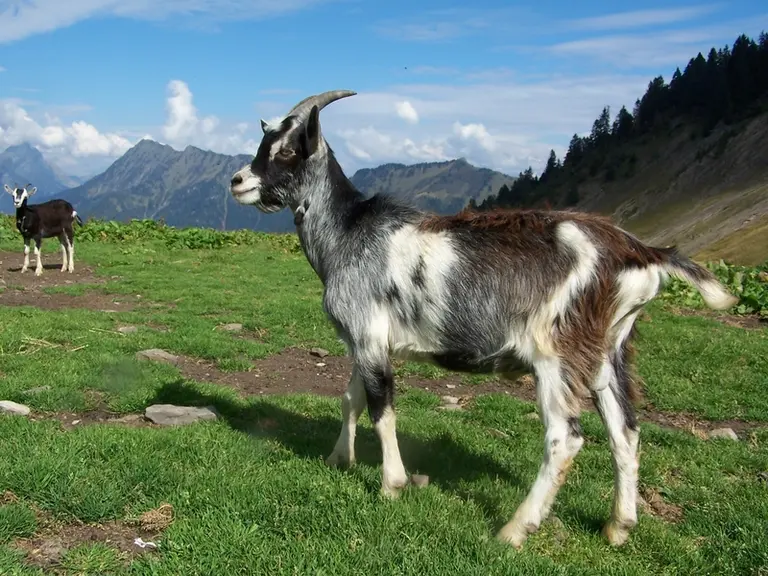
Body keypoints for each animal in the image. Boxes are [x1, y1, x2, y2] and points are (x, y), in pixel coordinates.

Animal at [229, 90, 739, 549]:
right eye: (265, 141)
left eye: (288, 149)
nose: (237, 181)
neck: (347, 234)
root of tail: (642, 253)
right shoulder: (363, 340)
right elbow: (350, 398)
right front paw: (339, 458)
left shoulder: (370, 335)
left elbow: (381, 410)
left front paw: (392, 485)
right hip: (610, 351)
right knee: (625, 431)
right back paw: (618, 527)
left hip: (559, 351)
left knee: (566, 439)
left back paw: (515, 529)